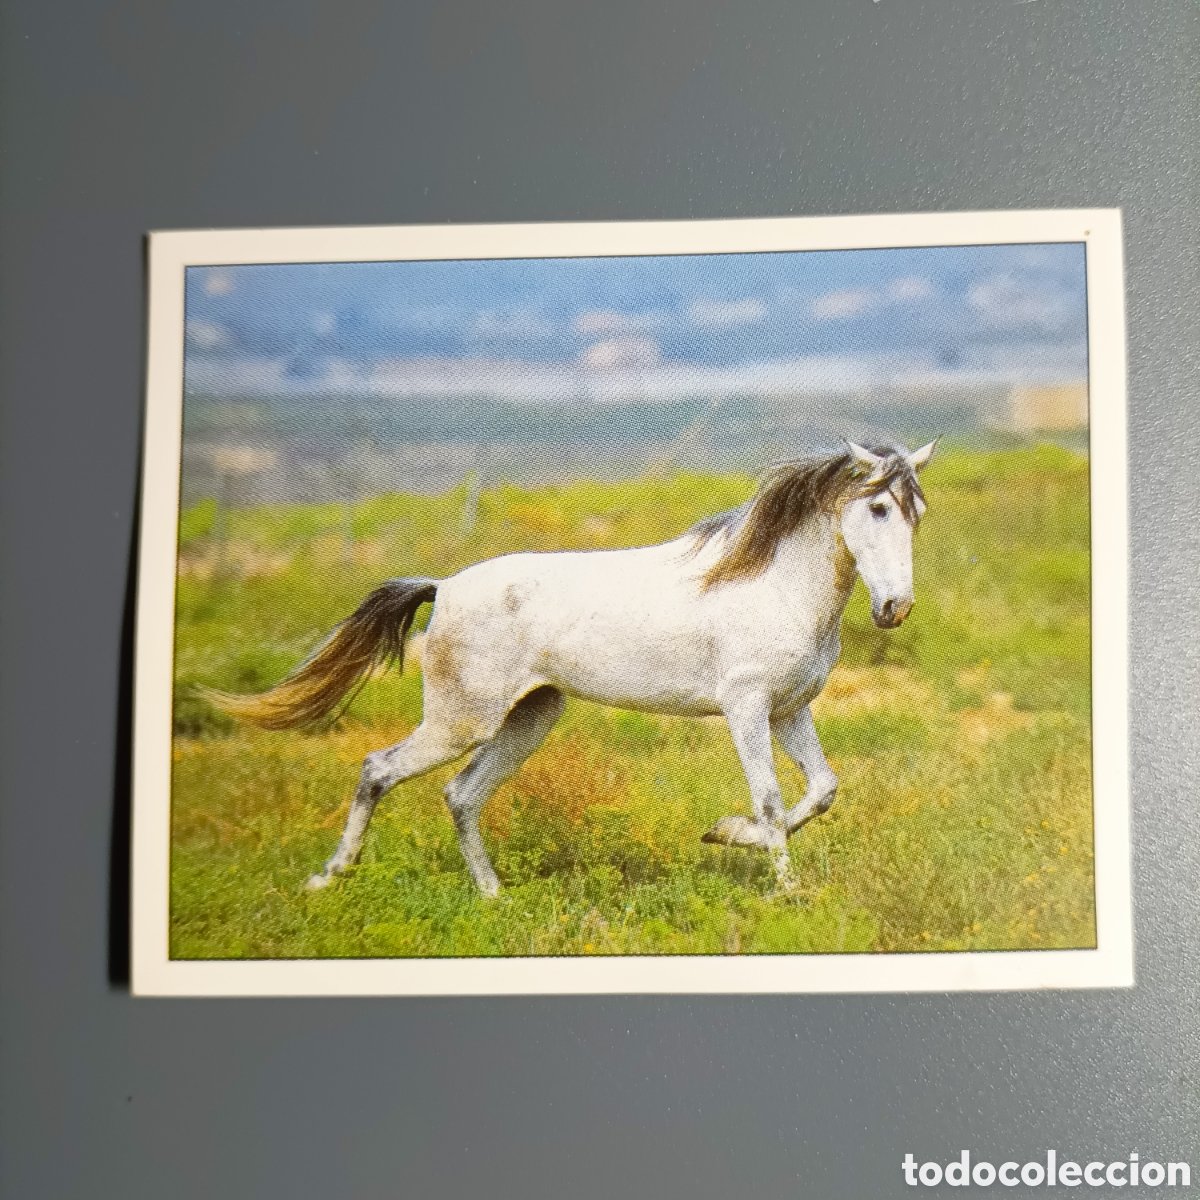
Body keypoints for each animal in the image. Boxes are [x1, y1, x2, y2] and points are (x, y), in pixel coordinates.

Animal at [202, 439, 936, 896]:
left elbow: (823, 789)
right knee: (377, 769)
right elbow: (774, 799)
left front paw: (724, 835)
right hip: (461, 721)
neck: (773, 584)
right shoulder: (747, 707)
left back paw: (493, 896)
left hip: (531, 714)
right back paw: (330, 878)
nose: (895, 608)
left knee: (461, 794)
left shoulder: (789, 710)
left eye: (918, 514)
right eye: (877, 506)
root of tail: (444, 586)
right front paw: (785, 889)